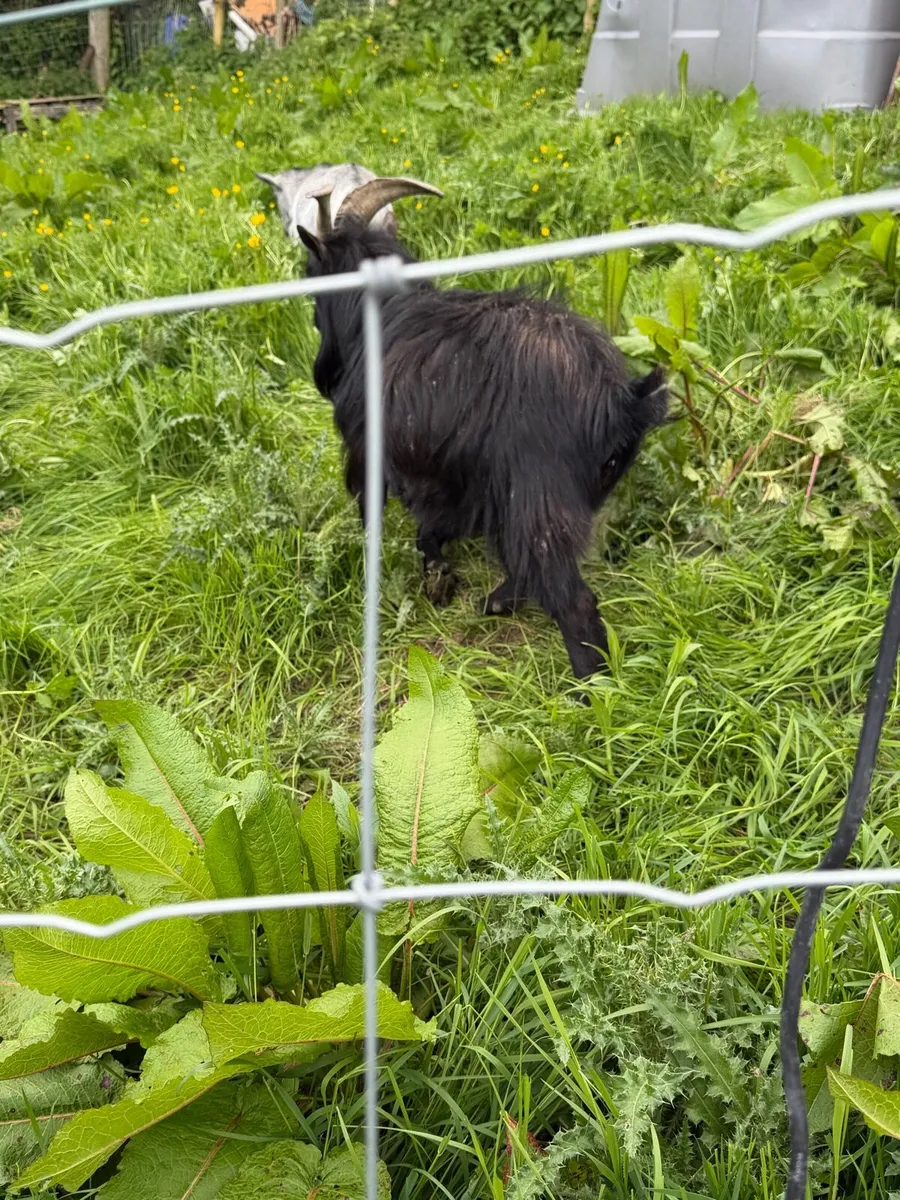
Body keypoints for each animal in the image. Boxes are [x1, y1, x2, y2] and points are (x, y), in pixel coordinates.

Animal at [296, 176, 669, 683]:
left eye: (313, 282)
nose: (323, 373)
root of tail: (619, 401)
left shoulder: (372, 454)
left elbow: (383, 517)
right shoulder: (456, 481)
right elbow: (434, 528)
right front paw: (440, 575)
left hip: (535, 497)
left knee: (571, 599)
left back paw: (590, 690)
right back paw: (494, 601)